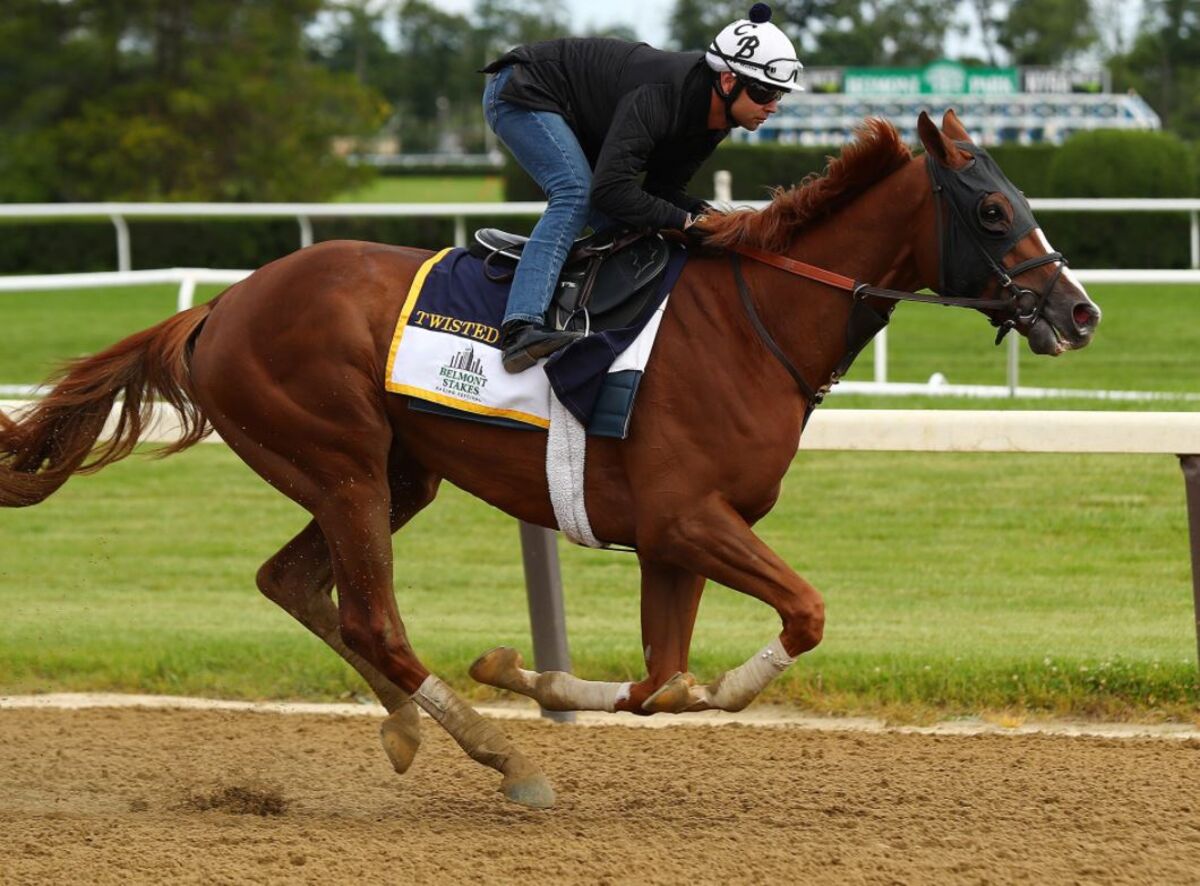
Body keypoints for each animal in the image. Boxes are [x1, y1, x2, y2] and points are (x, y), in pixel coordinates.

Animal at [0, 106, 1099, 801]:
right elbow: (796, 620)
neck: (754, 324)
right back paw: (502, 757)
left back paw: (409, 725)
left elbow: (667, 684)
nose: (1079, 312)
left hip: (396, 474)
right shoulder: (689, 518)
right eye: (993, 210)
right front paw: (523, 684)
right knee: (372, 618)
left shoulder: (674, 540)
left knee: (296, 584)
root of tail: (218, 308)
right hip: (342, 461)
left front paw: (525, 671)